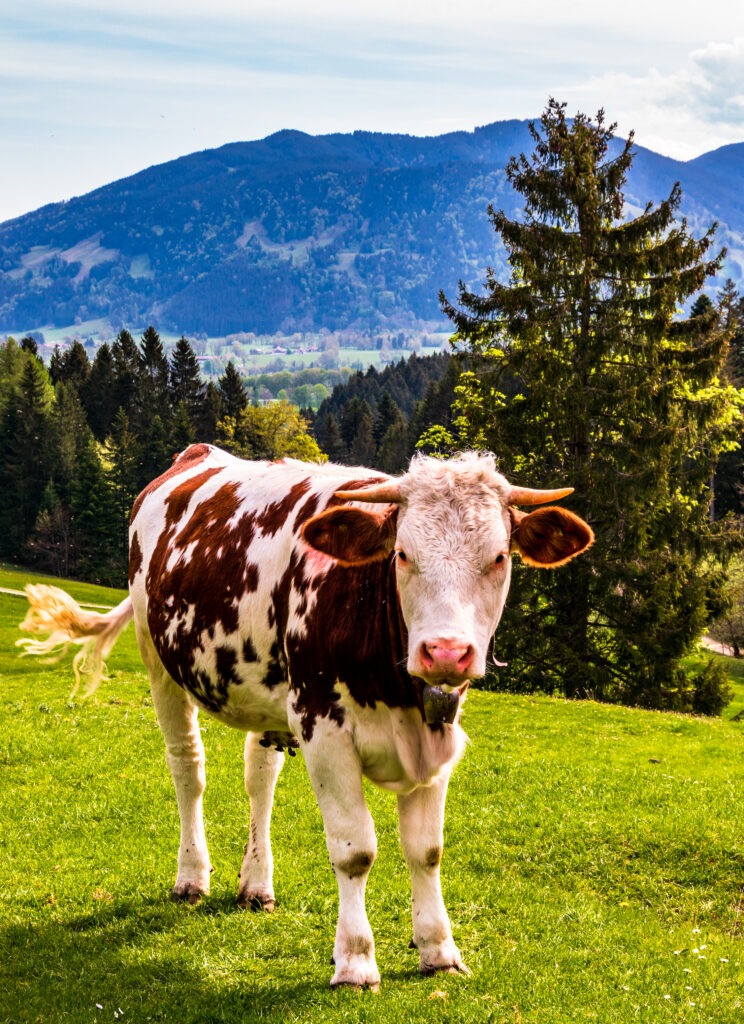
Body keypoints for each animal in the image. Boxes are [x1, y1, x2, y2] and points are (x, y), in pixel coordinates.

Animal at [18, 444, 593, 990]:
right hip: (157, 656)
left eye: (498, 558)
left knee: (259, 777)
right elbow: (355, 850)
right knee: (187, 768)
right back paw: (191, 875)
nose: (445, 653)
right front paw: (356, 961)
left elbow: (426, 850)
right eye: (402, 555)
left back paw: (256, 884)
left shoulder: (437, 731)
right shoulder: (324, 728)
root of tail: (196, 454)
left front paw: (438, 950)